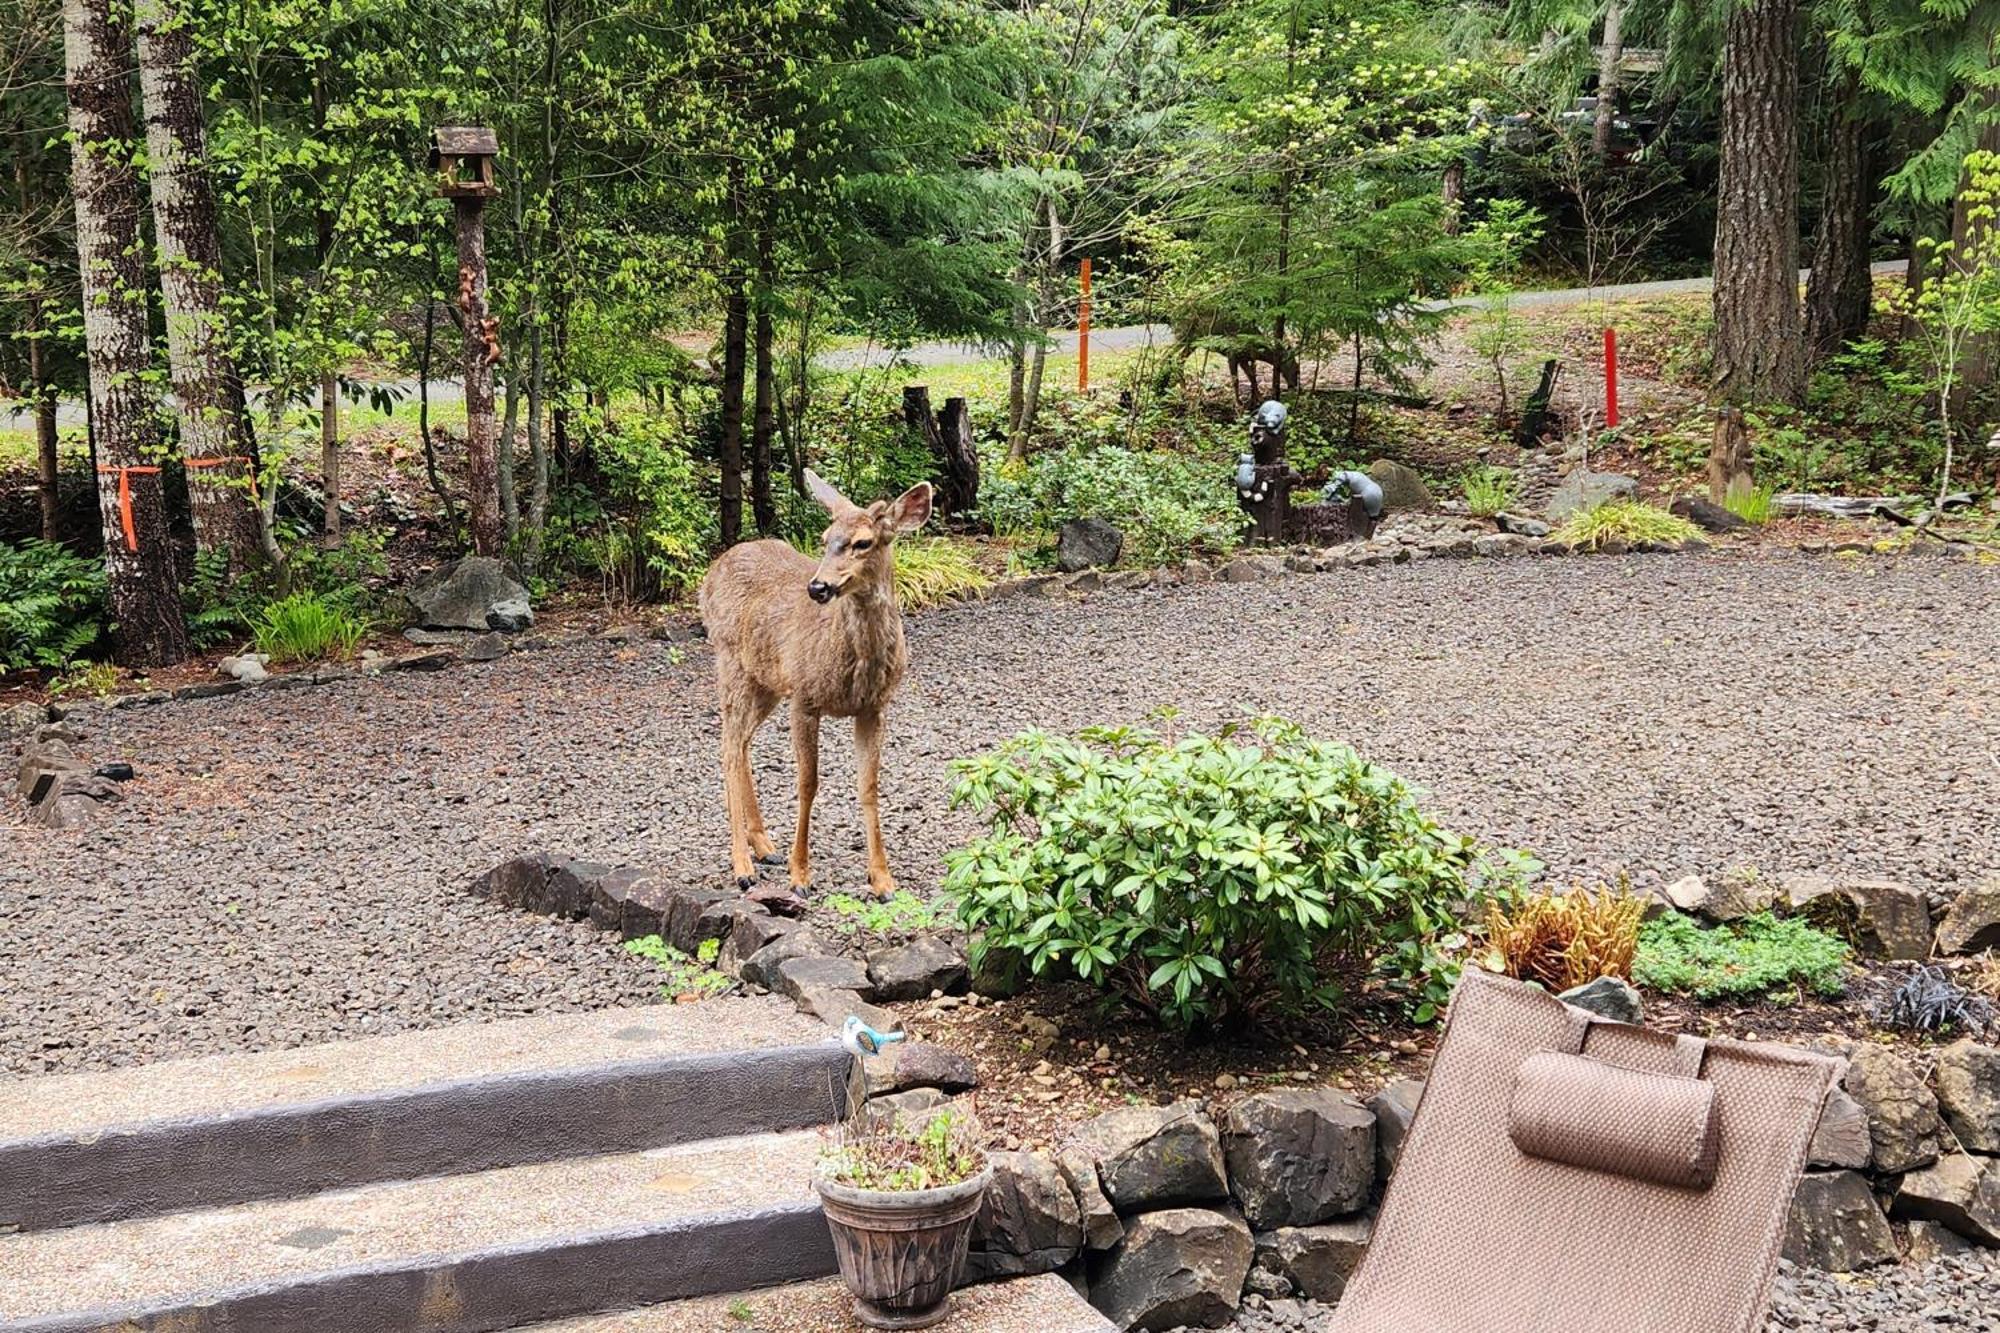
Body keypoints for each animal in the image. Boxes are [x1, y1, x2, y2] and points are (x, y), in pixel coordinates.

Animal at [696, 464, 928, 892]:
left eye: (863, 542)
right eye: (824, 539)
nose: (818, 586)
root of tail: (713, 569)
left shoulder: (874, 707)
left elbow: (869, 786)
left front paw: (882, 879)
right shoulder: (805, 696)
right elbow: (807, 783)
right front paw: (799, 874)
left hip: (767, 679)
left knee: (742, 742)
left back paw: (764, 845)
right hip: (730, 660)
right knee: (729, 746)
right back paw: (743, 865)